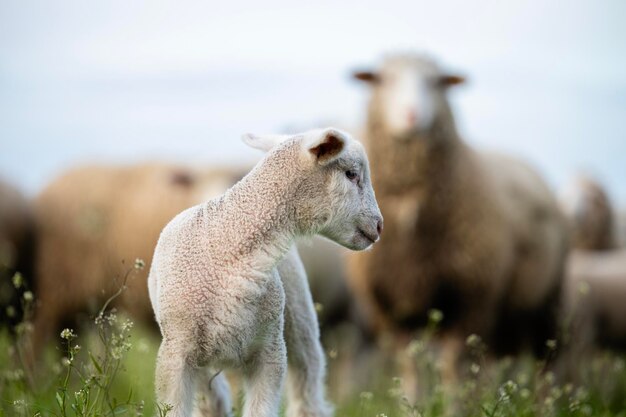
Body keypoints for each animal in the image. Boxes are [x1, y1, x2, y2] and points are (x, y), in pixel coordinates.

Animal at [147, 127, 380, 416]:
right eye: (351, 174)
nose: (379, 226)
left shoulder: (270, 352)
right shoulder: (175, 355)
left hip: (298, 316)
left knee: (308, 384)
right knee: (212, 397)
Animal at [348, 53, 568, 386]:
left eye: (436, 82)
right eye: (384, 79)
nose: (412, 115)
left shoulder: (472, 297)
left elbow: (453, 367)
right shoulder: (392, 307)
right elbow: (409, 366)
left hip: (545, 304)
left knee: (546, 365)